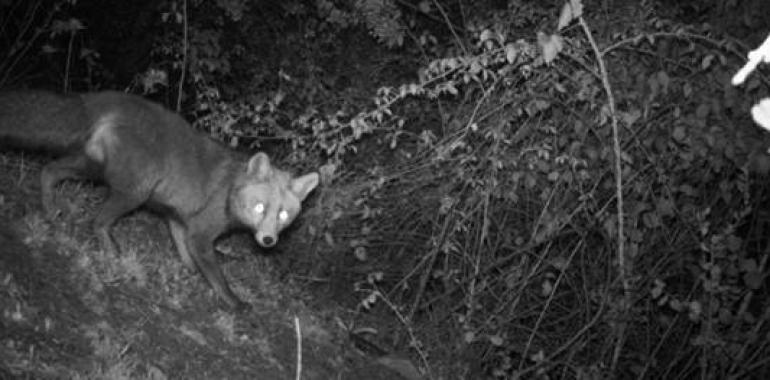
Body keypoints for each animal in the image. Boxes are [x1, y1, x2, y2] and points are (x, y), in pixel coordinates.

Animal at [0, 90, 318, 310]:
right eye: (260, 207)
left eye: (283, 216)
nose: (268, 240)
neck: (229, 191)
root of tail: (105, 97)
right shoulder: (201, 232)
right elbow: (218, 277)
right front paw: (235, 303)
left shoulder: (178, 219)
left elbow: (185, 255)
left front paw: (189, 274)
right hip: (133, 190)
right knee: (97, 220)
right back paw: (112, 252)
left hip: (91, 168)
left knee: (48, 170)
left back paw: (50, 210)